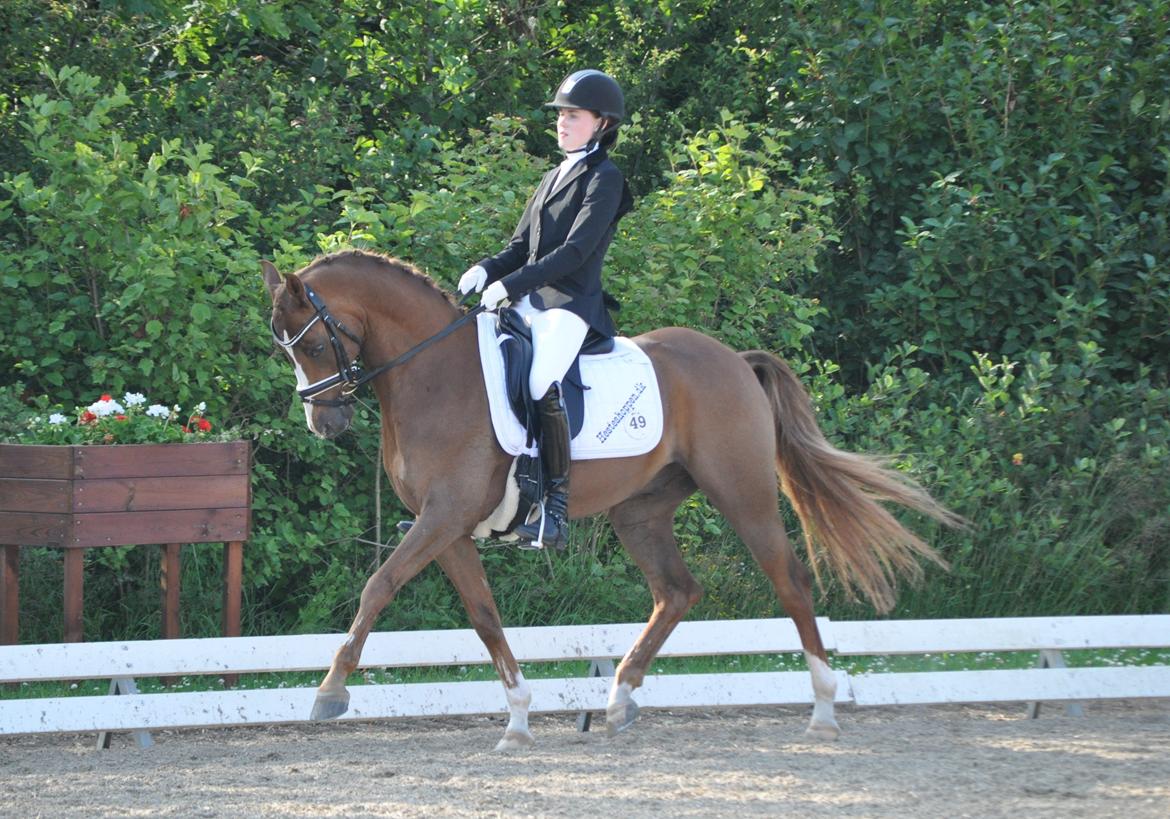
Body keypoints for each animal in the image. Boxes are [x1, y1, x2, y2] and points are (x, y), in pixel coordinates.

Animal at [262, 249, 961, 750]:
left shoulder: (441, 517)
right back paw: (620, 698)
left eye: (315, 344)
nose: (324, 424)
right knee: (677, 591)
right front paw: (517, 720)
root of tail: (735, 359)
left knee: (788, 580)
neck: (434, 375)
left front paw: (329, 691)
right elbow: (484, 617)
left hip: (743, 491)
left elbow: (378, 586)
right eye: (284, 348)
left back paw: (822, 709)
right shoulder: (451, 528)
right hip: (640, 511)